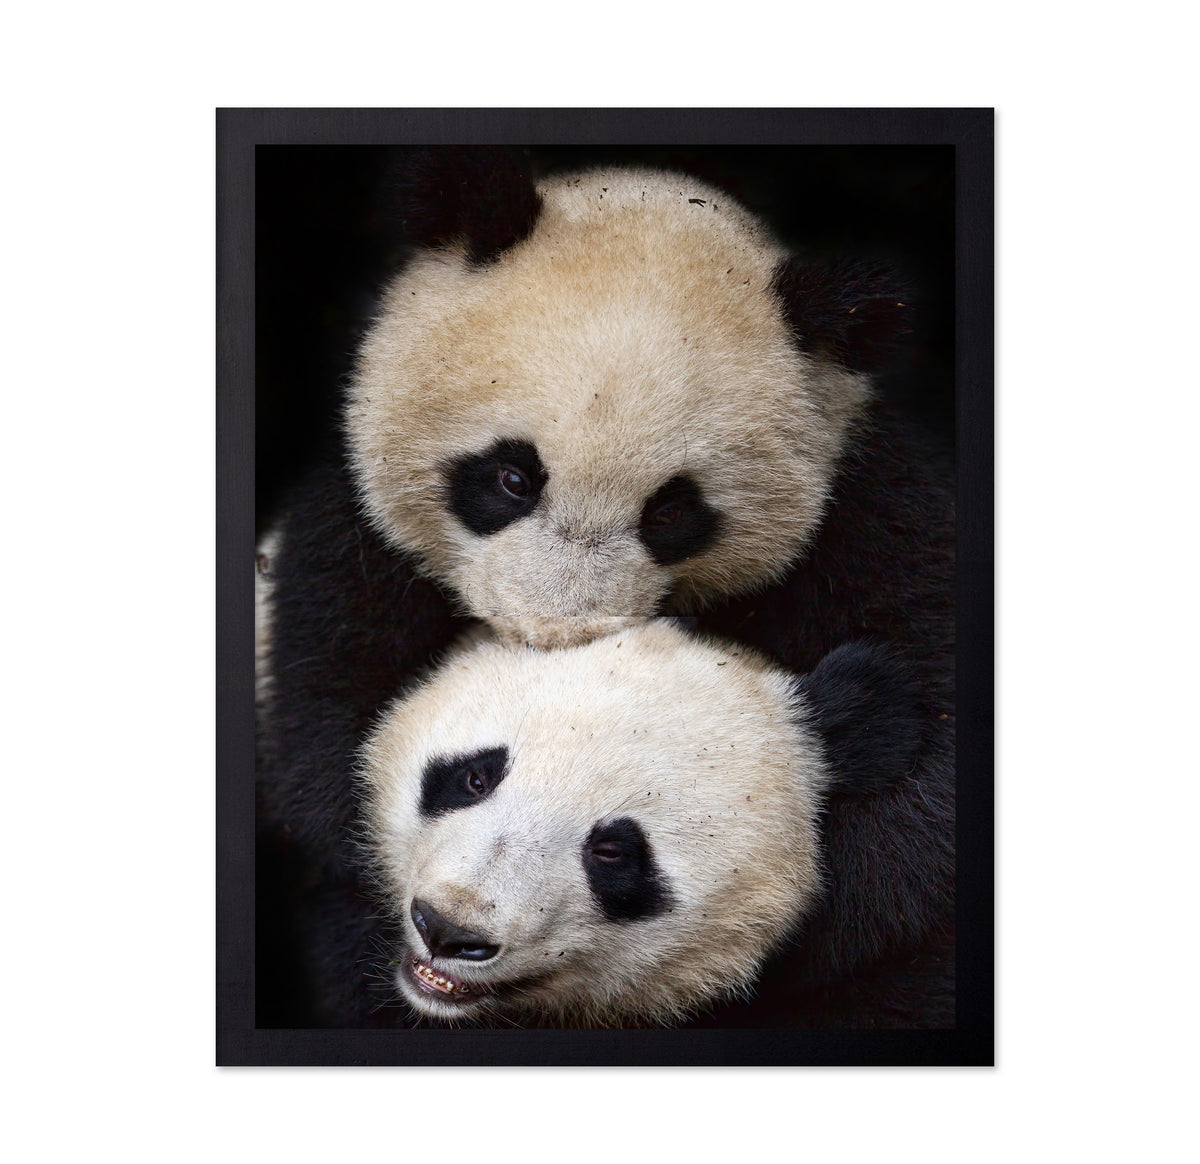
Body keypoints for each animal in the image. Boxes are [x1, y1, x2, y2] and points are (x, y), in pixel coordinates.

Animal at [257, 148, 955, 1028]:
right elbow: (323, 715)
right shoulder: (347, 542)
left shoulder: (873, 516)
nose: (558, 628)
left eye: (672, 513)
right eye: (511, 477)